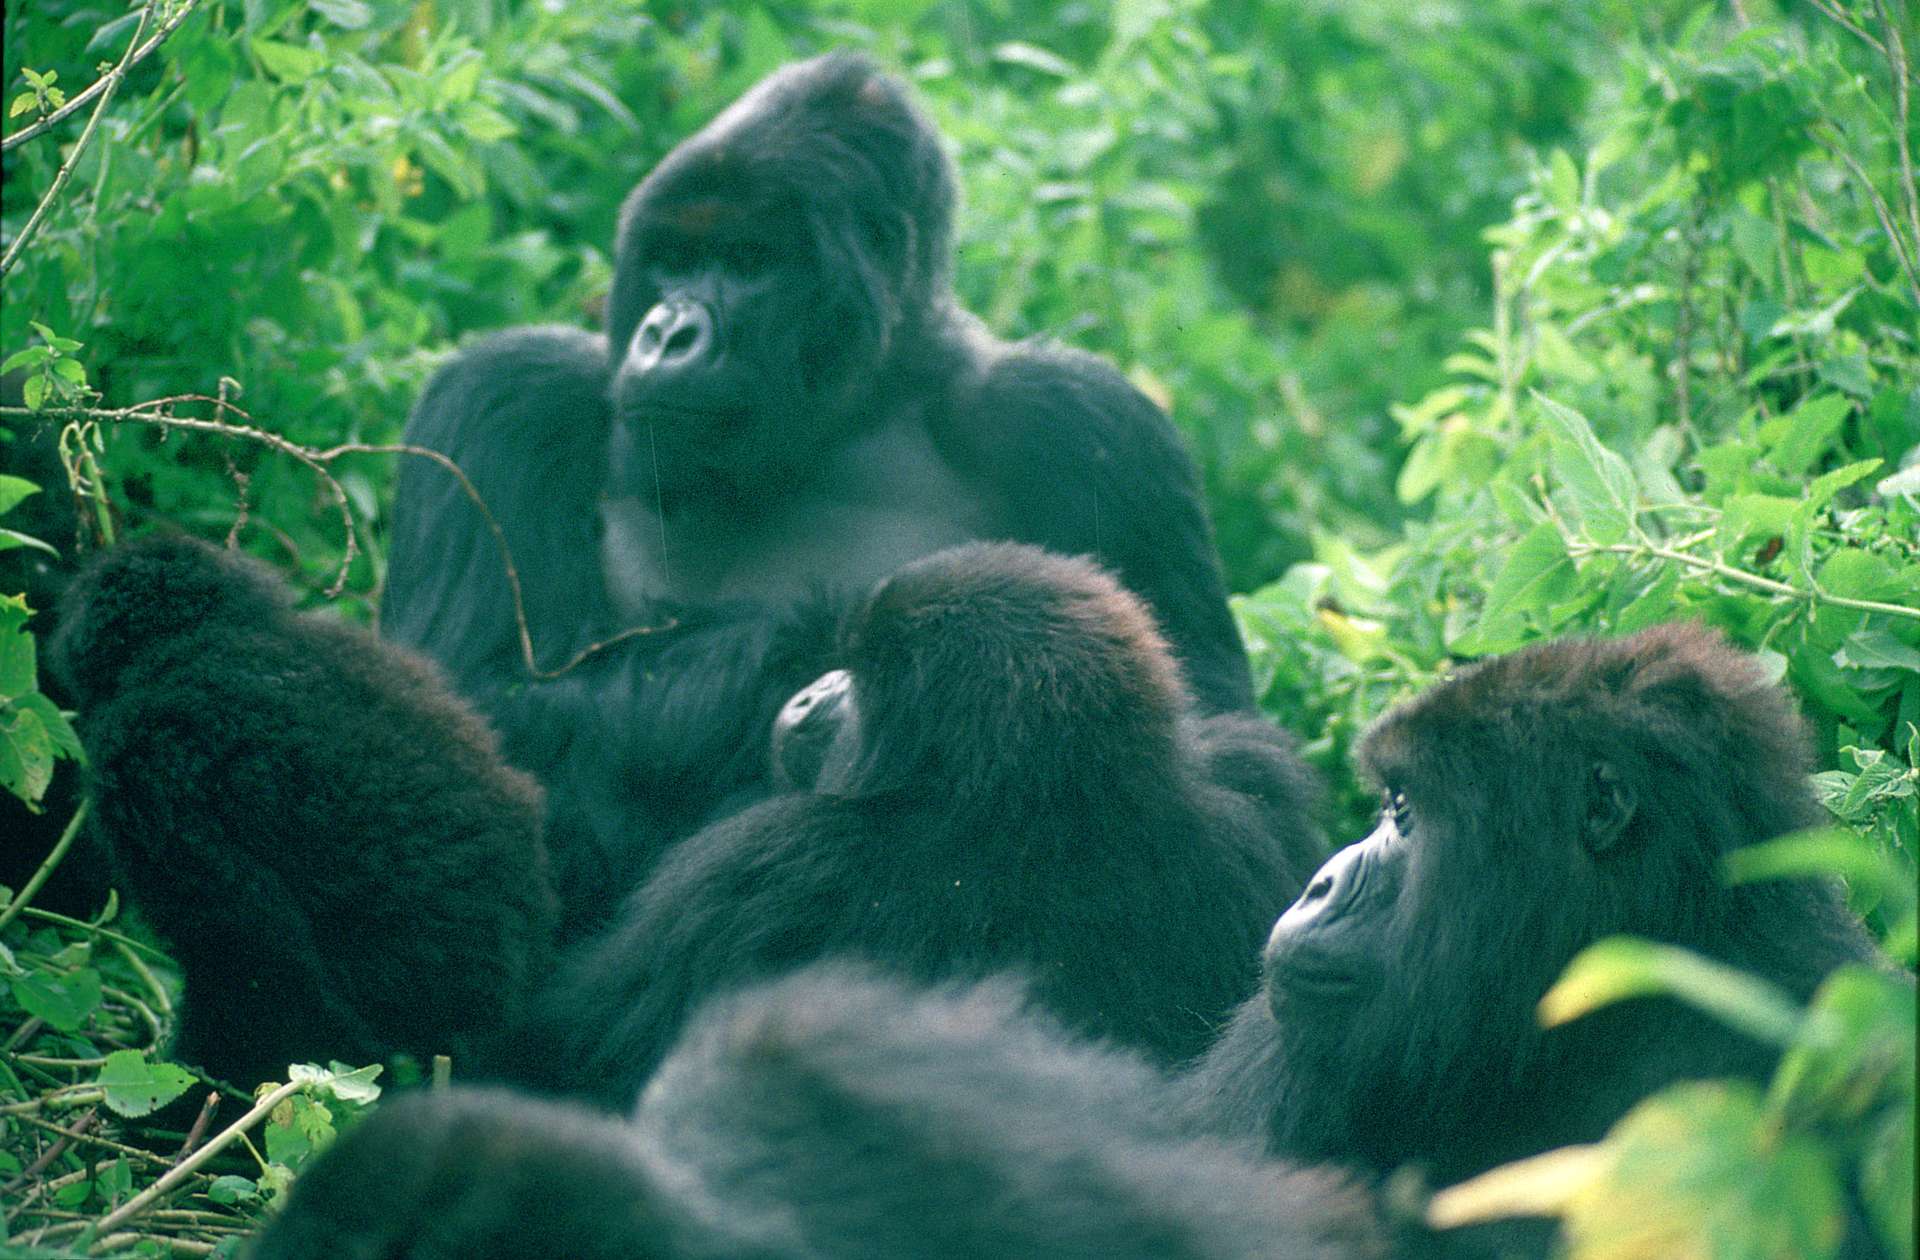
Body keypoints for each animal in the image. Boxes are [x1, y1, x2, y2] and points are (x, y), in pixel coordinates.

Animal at [385, 49, 1259, 925]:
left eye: (749, 263)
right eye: (672, 262)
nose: (667, 334)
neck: (845, 410)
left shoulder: (1087, 423)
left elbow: (1206, 717)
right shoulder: (502, 397)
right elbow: (475, 702)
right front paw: (821, 639)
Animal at [526, 541, 1328, 1106]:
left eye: (861, 683)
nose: (810, 694)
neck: (1048, 797)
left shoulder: (764, 867)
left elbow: (571, 1042)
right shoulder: (1250, 773)